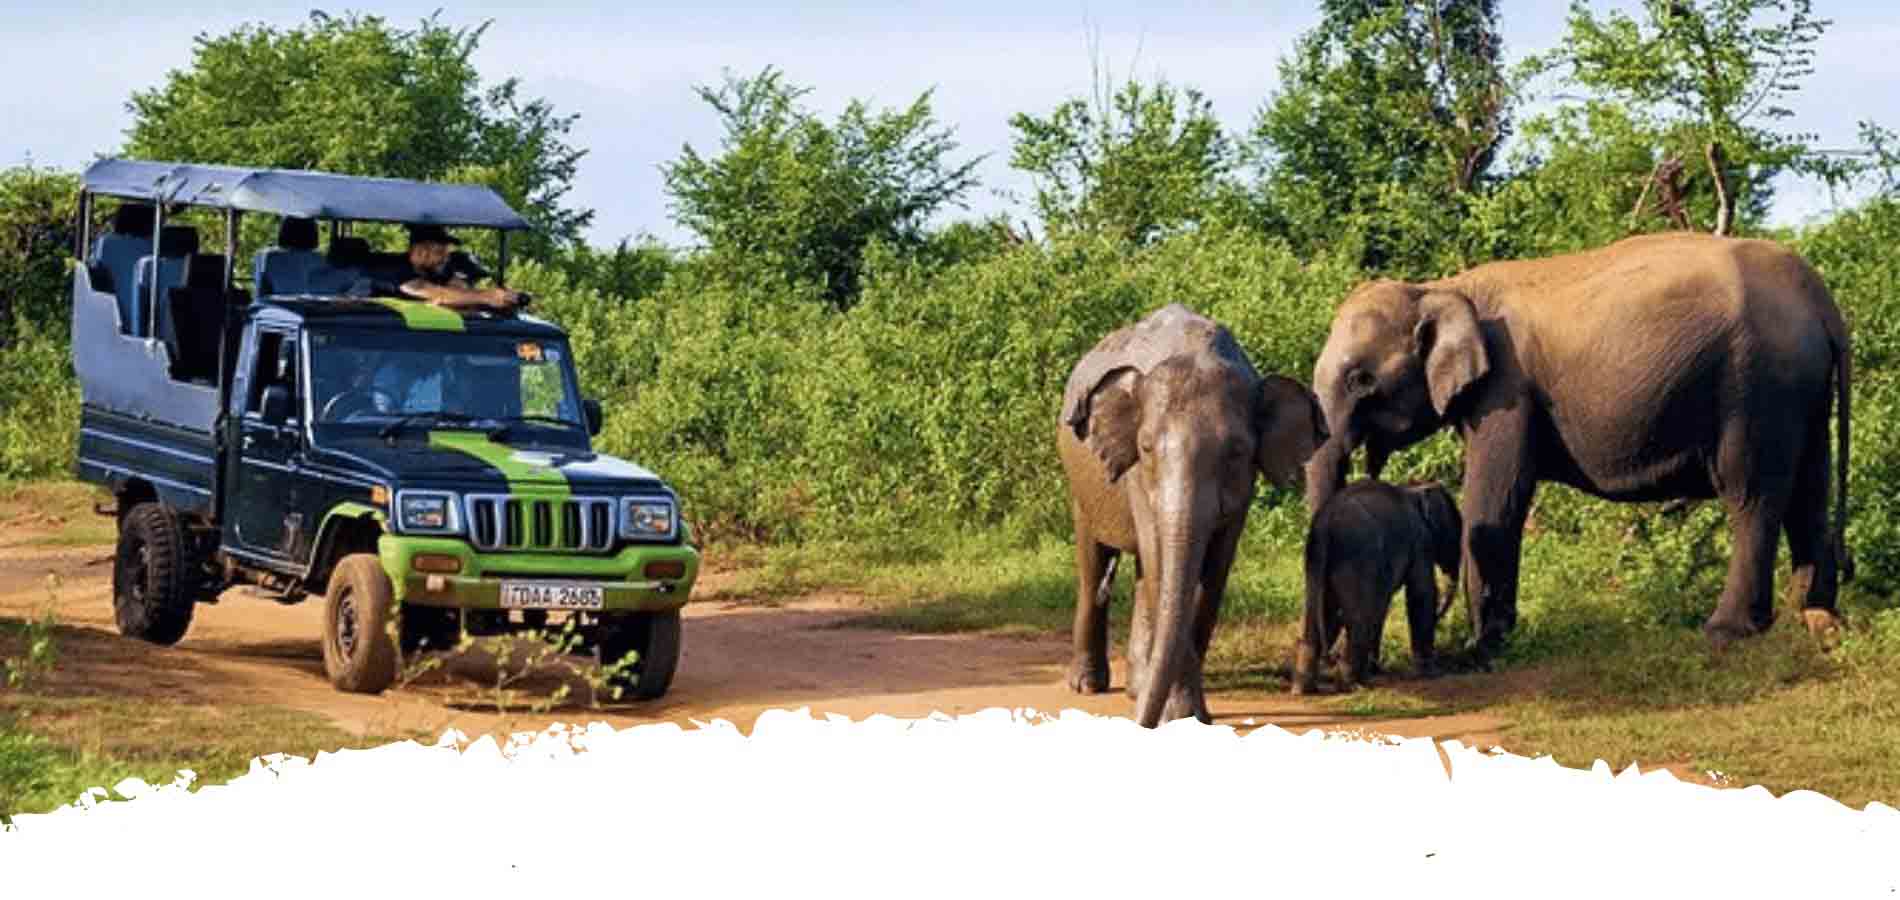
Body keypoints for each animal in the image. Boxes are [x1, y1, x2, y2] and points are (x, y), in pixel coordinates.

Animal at [1056, 300, 1322, 725]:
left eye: (1236, 453)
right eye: (1146, 448)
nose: (1141, 726)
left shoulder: (1242, 491)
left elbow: (1211, 574)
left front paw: (1188, 716)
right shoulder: (1136, 478)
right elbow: (1161, 562)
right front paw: (1179, 716)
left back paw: (1137, 688)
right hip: (1080, 481)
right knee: (1094, 562)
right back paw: (1087, 685)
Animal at [1292, 478, 1466, 694]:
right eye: (1456, 533)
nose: (1440, 616)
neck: (1413, 488)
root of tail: (1324, 526)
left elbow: (1384, 605)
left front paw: (1375, 670)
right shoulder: (1421, 540)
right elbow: (1422, 593)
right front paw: (1431, 673)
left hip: (1316, 563)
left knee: (1321, 613)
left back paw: (1304, 689)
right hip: (1357, 558)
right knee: (1358, 617)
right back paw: (1351, 686)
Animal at [1299, 230, 1846, 660]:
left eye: (1361, 380)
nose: (1329, 655)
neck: (1440, 287)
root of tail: (1820, 300)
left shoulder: (1506, 389)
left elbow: (1497, 498)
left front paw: (1480, 649)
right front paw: (1494, 640)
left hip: (1757, 385)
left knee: (1752, 495)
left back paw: (1725, 633)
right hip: (1803, 391)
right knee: (1810, 490)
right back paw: (1815, 619)